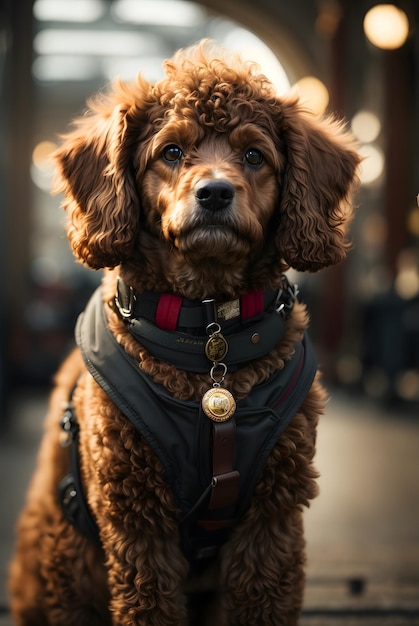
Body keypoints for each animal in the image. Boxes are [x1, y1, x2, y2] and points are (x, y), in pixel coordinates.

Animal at [8, 41, 360, 620]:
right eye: (171, 152)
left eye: (254, 156)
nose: (214, 193)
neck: (207, 336)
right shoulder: (137, 521)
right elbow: (148, 605)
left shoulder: (271, 521)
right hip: (66, 560)